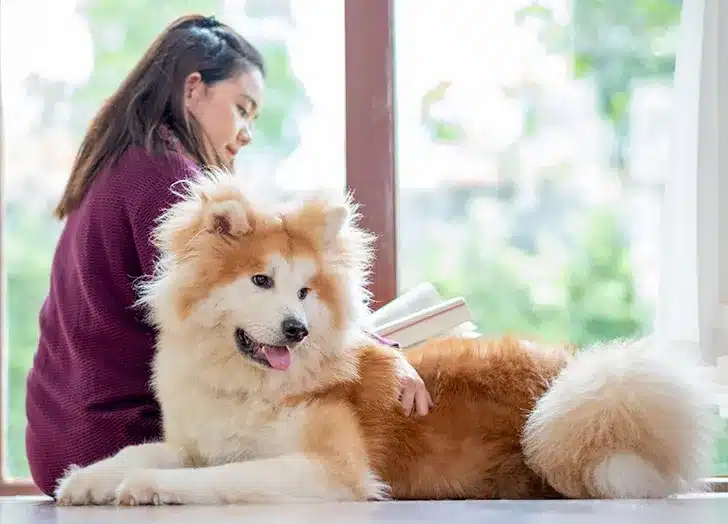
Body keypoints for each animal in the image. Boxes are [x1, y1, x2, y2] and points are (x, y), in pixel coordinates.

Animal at [55, 172, 716, 504]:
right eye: (261, 280)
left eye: (304, 293)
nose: (295, 329)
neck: (248, 385)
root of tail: (572, 370)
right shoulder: (203, 441)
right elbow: (144, 451)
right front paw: (88, 478)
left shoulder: (331, 469)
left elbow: (214, 479)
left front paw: (147, 487)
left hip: (571, 414)